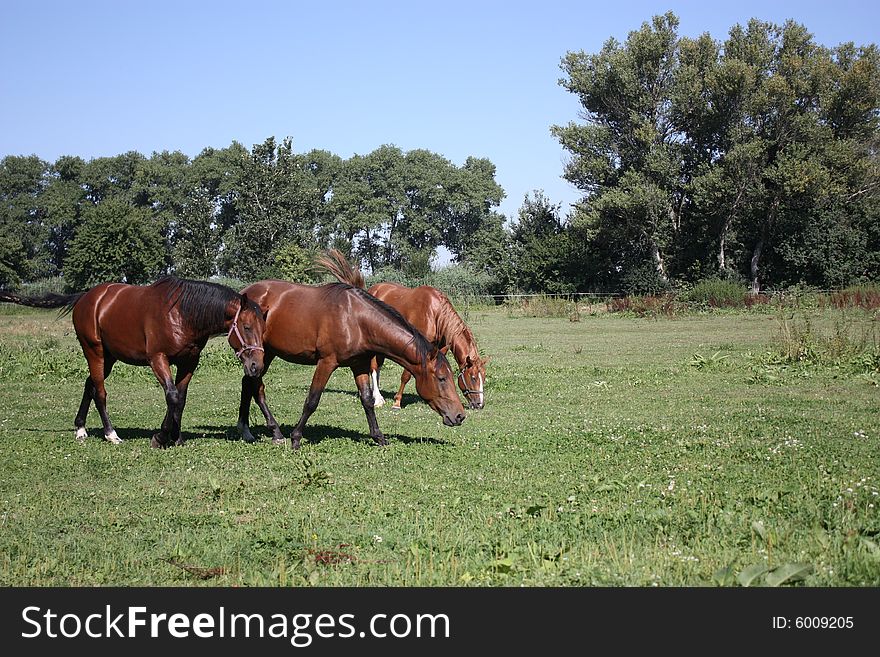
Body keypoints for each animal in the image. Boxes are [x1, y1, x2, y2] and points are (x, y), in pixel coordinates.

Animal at [1, 274, 266, 448]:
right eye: (246, 326)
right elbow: (172, 395)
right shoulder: (158, 359)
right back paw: (111, 434)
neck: (182, 313)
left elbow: (180, 398)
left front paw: (176, 436)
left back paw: (80, 429)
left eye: (263, 327)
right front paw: (161, 437)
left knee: (89, 385)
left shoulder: (189, 361)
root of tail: (86, 297)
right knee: (100, 392)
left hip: (108, 358)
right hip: (94, 352)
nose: (257, 366)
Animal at [234, 274, 468, 448]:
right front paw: (296, 438)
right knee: (256, 387)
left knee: (249, 383)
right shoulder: (326, 363)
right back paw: (274, 432)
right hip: (262, 353)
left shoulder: (359, 365)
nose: (459, 416)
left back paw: (249, 431)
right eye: (441, 378)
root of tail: (246, 293)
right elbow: (312, 400)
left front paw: (379, 437)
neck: (355, 319)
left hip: (264, 354)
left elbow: (367, 400)